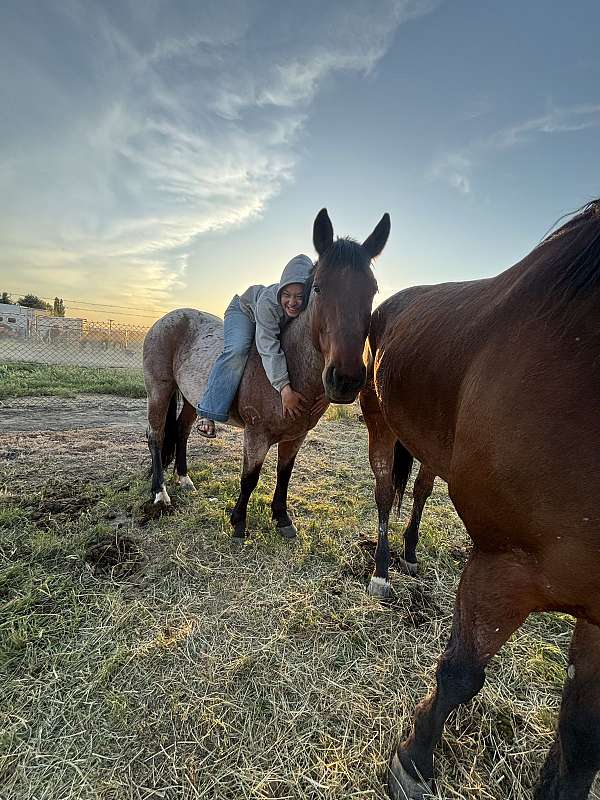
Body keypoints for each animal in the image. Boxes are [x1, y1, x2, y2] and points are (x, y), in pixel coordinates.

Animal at [143, 208, 390, 539]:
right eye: (318, 287)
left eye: (372, 290)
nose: (346, 379)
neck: (291, 370)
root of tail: (168, 318)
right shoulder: (256, 434)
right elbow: (250, 477)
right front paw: (238, 522)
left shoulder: (295, 436)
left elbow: (284, 474)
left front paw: (282, 518)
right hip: (159, 390)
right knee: (156, 435)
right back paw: (160, 492)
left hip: (192, 399)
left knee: (180, 430)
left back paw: (184, 479)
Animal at [361, 200, 600, 800]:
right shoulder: (504, 562)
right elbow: (461, 672)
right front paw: (413, 759)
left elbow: (583, 739)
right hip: (380, 423)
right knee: (385, 490)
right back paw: (382, 567)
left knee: (420, 490)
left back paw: (412, 550)